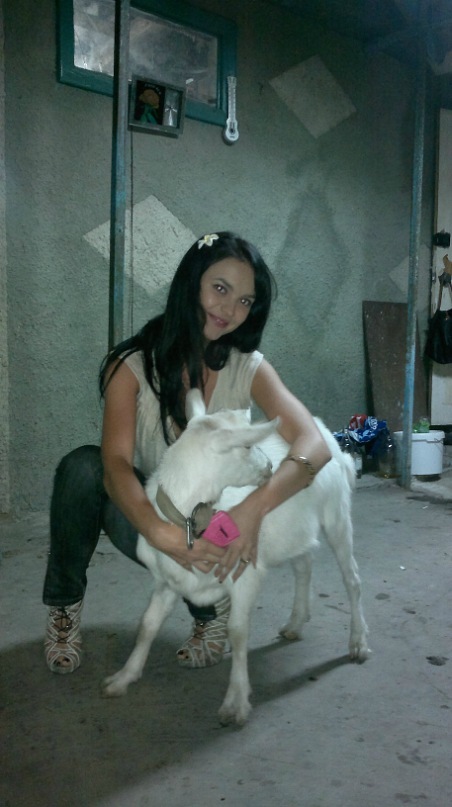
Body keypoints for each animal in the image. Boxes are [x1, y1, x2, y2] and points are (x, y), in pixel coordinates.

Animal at [103, 389, 369, 725]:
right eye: (245, 445)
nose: (270, 467)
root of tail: (327, 436)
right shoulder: (168, 580)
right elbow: (148, 624)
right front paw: (123, 677)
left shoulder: (246, 573)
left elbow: (238, 632)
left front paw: (236, 701)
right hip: (292, 529)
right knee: (303, 565)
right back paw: (296, 622)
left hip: (336, 514)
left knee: (352, 578)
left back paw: (358, 642)